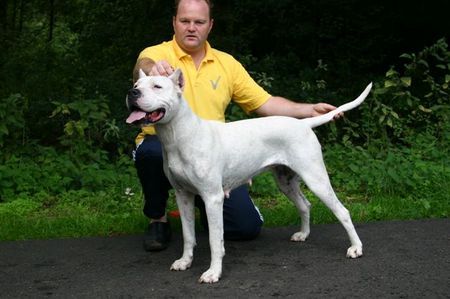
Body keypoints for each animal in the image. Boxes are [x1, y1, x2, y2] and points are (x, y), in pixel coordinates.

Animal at [126, 69, 372, 284]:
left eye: (157, 86)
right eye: (136, 84)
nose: (132, 93)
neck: (178, 136)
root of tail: (302, 123)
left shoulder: (212, 199)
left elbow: (216, 240)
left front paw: (213, 273)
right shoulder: (183, 196)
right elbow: (188, 236)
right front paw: (185, 262)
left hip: (316, 178)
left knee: (342, 212)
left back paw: (356, 248)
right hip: (286, 182)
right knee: (305, 205)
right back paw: (303, 234)